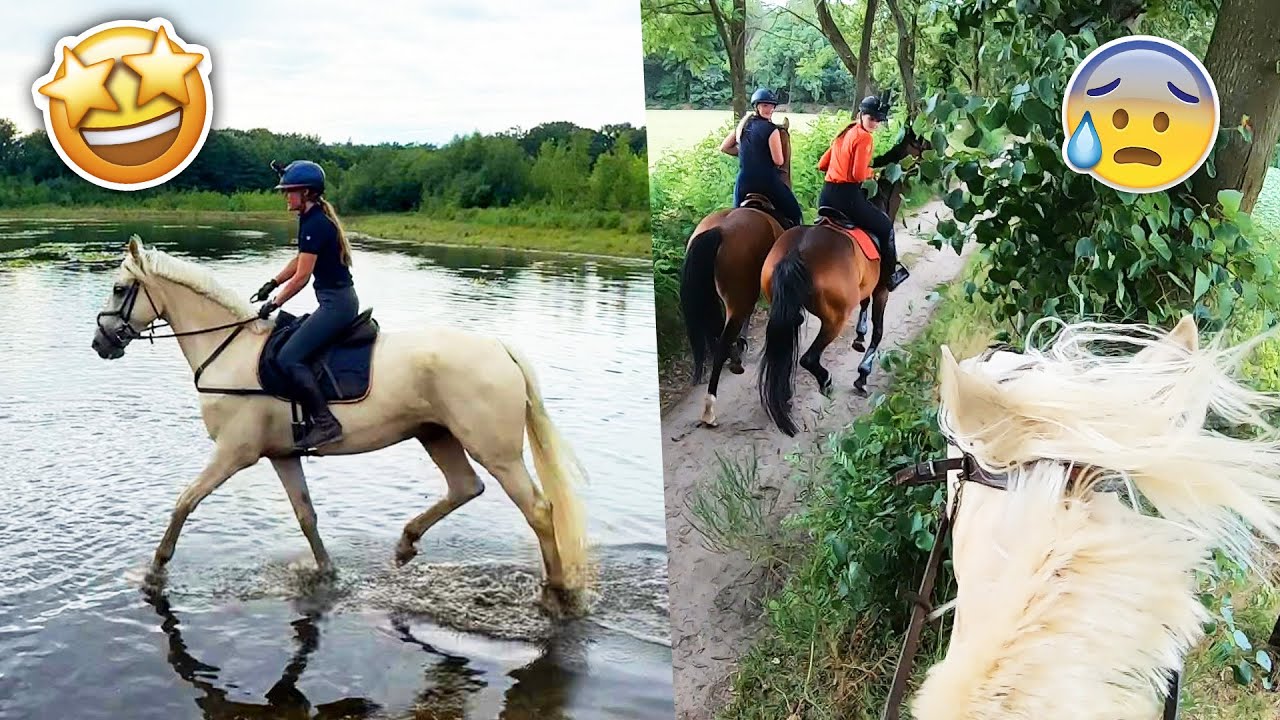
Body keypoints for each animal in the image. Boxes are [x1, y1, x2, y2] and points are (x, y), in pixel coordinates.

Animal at [91, 236, 591, 604]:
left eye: (119, 288)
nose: (100, 343)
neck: (230, 351)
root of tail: (499, 348)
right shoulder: (281, 455)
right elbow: (306, 516)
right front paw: (328, 573)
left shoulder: (235, 452)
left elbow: (184, 501)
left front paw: (156, 569)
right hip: (436, 435)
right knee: (465, 487)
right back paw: (406, 544)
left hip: (494, 449)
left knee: (538, 510)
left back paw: (557, 588)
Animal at [756, 125, 929, 436]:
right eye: (921, 145)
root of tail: (797, 251)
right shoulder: (882, 289)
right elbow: (878, 331)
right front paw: (862, 374)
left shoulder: (866, 286)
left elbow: (864, 307)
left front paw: (859, 336)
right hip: (834, 318)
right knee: (809, 358)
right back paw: (825, 381)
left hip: (786, 310)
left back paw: (784, 396)